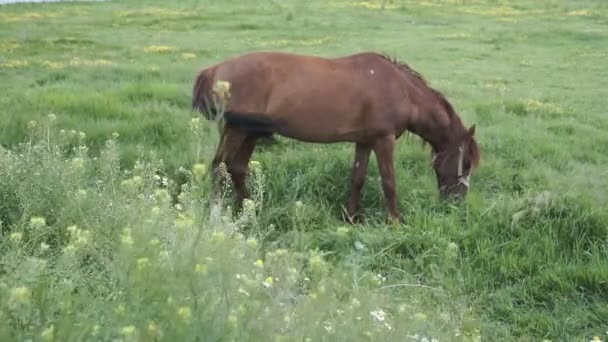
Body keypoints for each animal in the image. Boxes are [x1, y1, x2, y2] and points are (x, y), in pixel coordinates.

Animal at [191, 50, 480, 222]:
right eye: (466, 163)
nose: (457, 202)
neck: (400, 89)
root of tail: (215, 69)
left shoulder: (364, 141)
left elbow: (357, 178)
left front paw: (353, 218)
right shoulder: (383, 140)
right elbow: (389, 182)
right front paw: (395, 221)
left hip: (248, 132)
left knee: (236, 168)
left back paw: (251, 209)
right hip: (237, 130)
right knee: (219, 167)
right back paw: (218, 213)